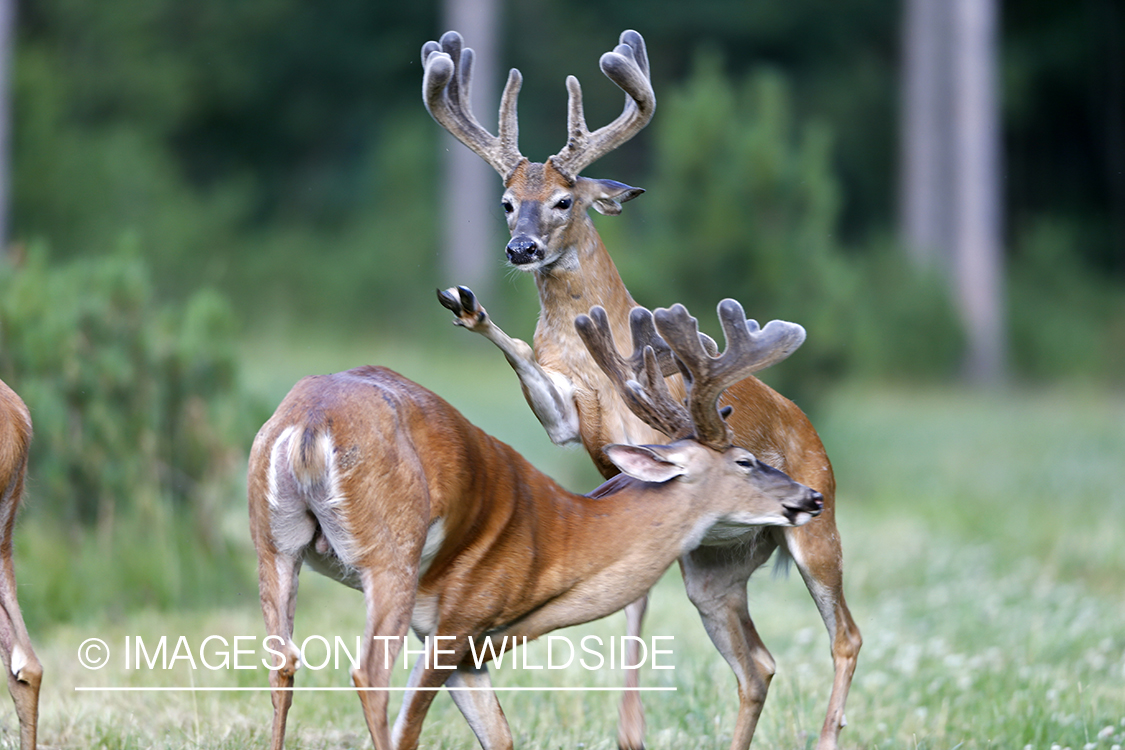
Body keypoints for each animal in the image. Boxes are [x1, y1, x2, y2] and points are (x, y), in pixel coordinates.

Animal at [250, 301, 823, 750]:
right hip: (392, 552)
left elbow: (500, 736)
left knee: (282, 660)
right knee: (368, 673)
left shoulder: (467, 648)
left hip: (273, 542)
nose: (811, 496)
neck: (559, 539)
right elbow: (408, 728)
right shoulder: (460, 616)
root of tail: (308, 424)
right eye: (745, 461)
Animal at [423, 27, 859, 750]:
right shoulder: (575, 422)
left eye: (564, 201)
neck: (598, 354)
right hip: (714, 569)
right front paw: (467, 307)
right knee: (758, 664)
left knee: (845, 635)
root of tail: (810, 431)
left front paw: (631, 727)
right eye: (507, 202)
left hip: (817, 531)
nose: (520, 248)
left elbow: (635, 599)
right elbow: (526, 364)